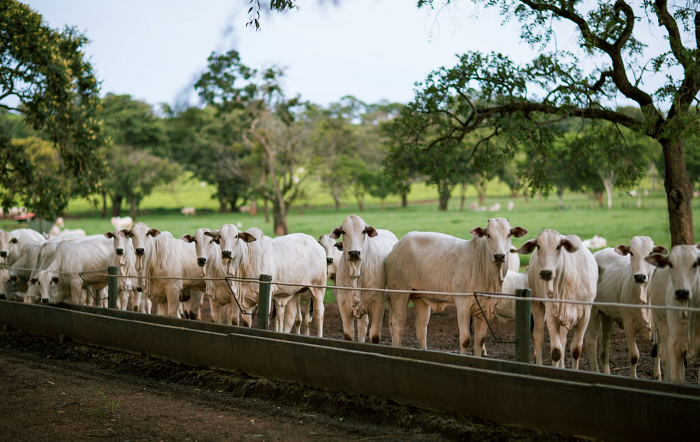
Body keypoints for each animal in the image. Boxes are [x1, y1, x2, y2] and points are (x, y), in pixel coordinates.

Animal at [330, 215, 398, 343]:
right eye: (343, 231)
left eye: (363, 231)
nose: (354, 252)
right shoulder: (343, 305)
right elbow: (349, 334)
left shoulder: (378, 304)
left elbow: (375, 335)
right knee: (363, 326)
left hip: (392, 299)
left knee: (393, 325)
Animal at [385, 218, 528, 355]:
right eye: (488, 235)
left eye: (508, 234)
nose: (499, 255)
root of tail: (397, 245)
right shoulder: (463, 305)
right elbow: (465, 340)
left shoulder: (483, 309)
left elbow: (479, 341)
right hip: (399, 294)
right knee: (397, 325)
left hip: (421, 298)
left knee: (421, 328)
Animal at [515, 229, 598, 369]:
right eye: (538, 246)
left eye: (558, 246)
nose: (546, 273)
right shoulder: (550, 313)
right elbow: (556, 351)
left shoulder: (585, 314)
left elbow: (575, 350)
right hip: (537, 305)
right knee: (539, 337)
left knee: (563, 341)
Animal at [585, 237, 668, 378]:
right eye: (631, 253)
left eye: (651, 253)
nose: (640, 276)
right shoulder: (629, 325)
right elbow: (634, 356)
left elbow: (658, 352)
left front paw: (658, 376)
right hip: (592, 310)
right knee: (591, 341)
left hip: (608, 315)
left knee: (605, 342)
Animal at [646, 245, 700, 384]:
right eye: (670, 264)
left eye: (695, 264)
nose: (682, 292)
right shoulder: (674, 345)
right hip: (662, 322)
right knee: (664, 356)